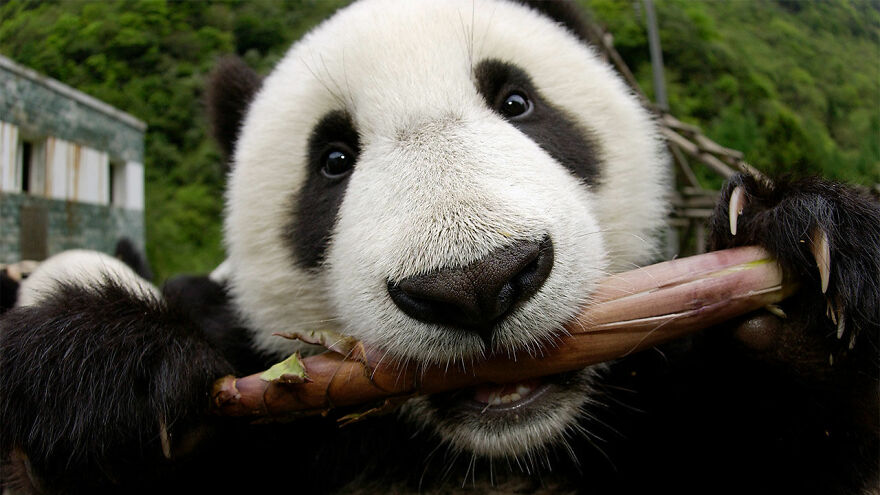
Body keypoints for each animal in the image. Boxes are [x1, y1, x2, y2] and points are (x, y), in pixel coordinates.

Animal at [1, 1, 877, 494]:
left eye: (517, 101)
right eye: (333, 159)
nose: (477, 282)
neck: (496, 455)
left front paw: (808, 275)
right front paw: (105, 379)